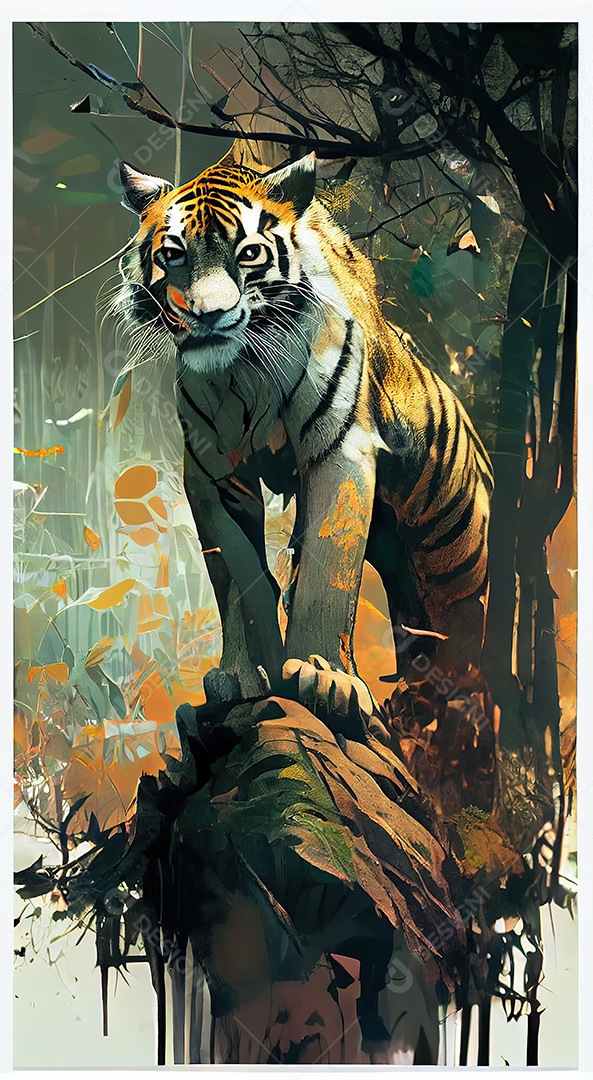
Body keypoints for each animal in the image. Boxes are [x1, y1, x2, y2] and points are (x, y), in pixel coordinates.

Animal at [116, 152, 493, 701]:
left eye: (249, 253)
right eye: (174, 255)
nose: (210, 315)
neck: (244, 371)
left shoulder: (339, 448)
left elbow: (326, 565)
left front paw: (326, 678)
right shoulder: (213, 477)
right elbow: (238, 577)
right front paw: (244, 677)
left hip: (454, 560)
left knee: (461, 638)